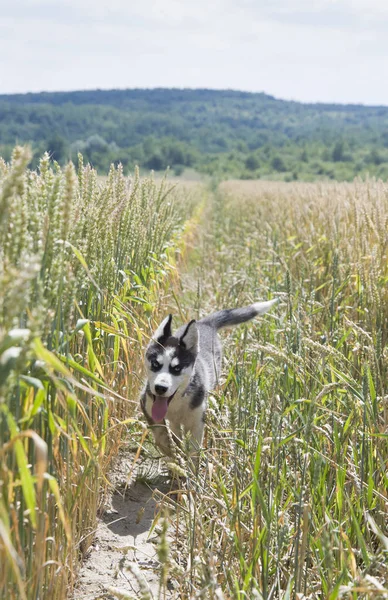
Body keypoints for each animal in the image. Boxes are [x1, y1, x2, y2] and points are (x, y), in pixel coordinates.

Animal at [141, 300, 278, 454]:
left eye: (176, 368)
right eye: (155, 364)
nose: (160, 388)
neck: (176, 402)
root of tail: (204, 323)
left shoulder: (197, 422)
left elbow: (193, 453)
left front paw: (180, 457)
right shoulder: (147, 404)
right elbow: (161, 435)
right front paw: (171, 451)